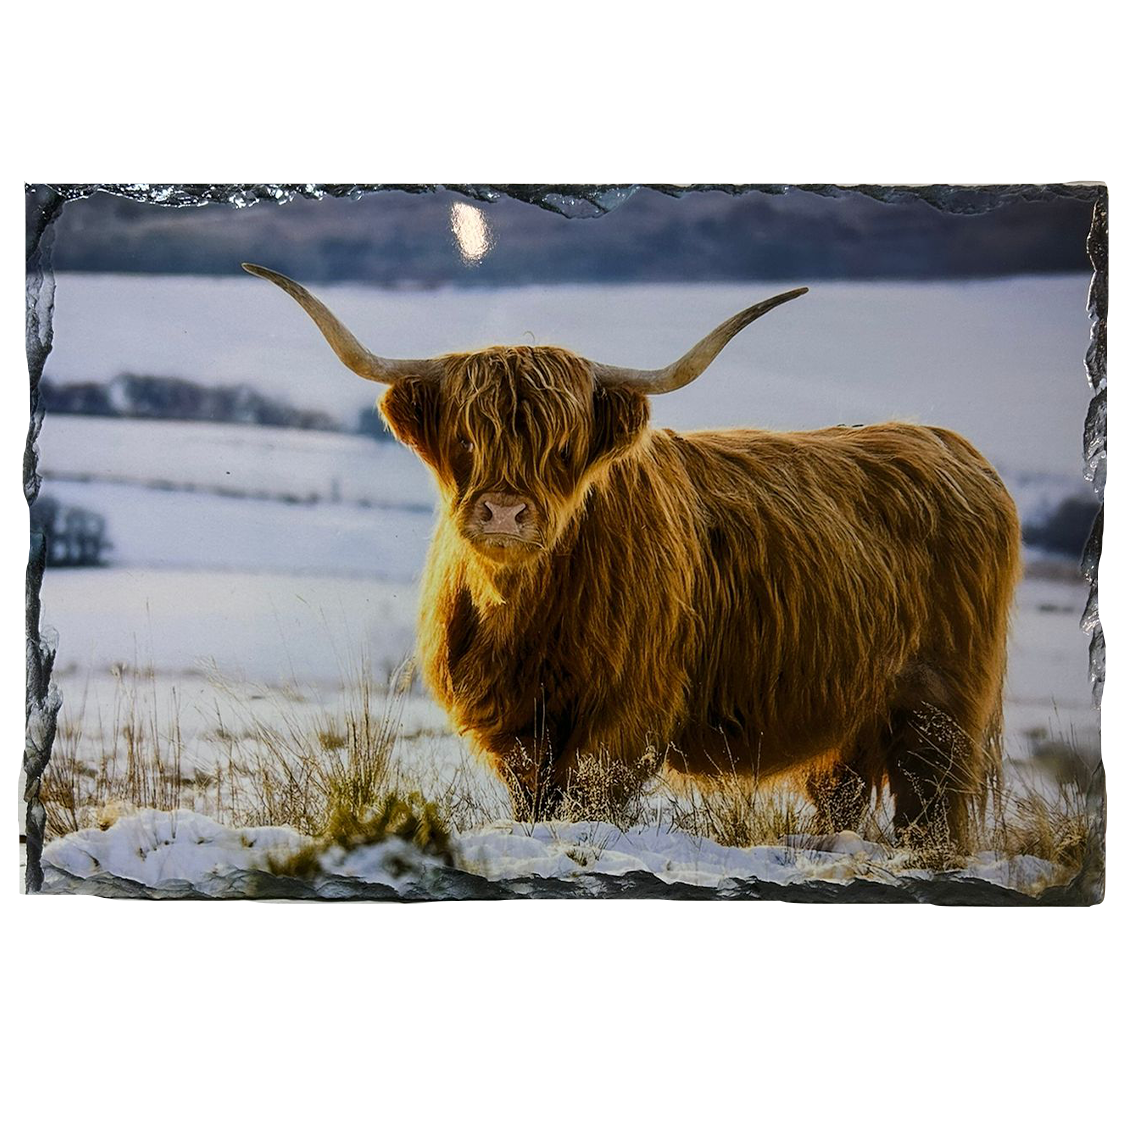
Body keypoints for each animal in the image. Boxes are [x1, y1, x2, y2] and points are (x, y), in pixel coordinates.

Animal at [244, 263, 1021, 850]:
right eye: (465, 439)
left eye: (561, 449)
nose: (504, 513)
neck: (521, 614)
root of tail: (949, 444)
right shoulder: (514, 724)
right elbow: (535, 801)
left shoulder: (626, 711)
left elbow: (590, 797)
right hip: (855, 717)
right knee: (844, 791)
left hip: (942, 710)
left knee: (931, 809)